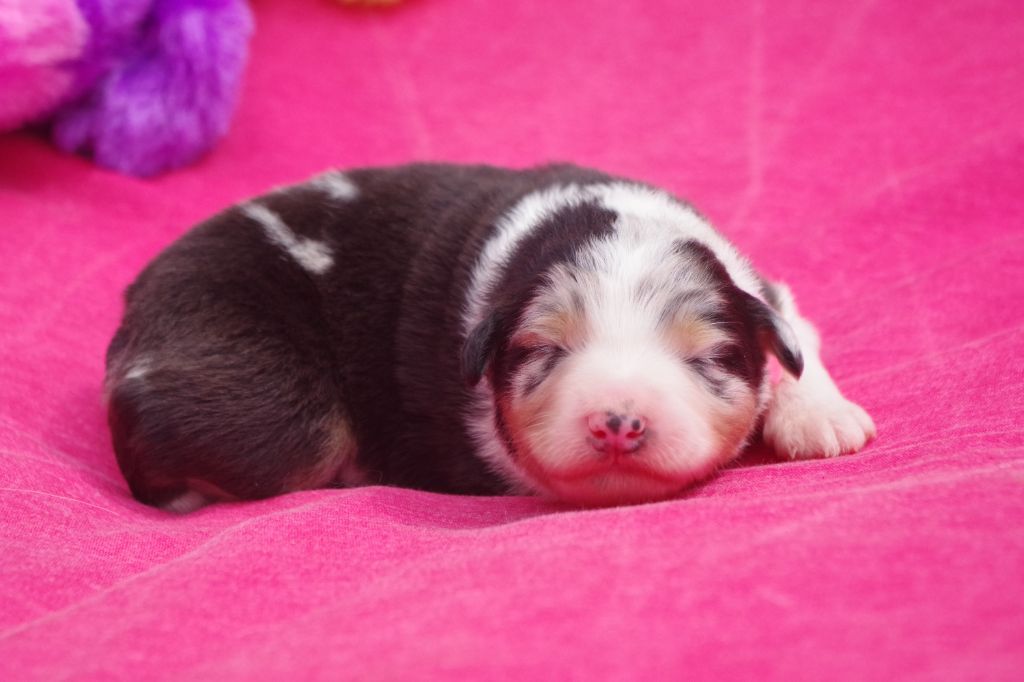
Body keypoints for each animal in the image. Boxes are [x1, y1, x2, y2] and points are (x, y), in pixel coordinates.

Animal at [105, 163, 875, 511]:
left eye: (707, 357)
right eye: (543, 351)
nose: (618, 424)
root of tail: (134, 312)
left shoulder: (762, 291)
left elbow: (796, 335)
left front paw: (822, 417)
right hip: (271, 410)